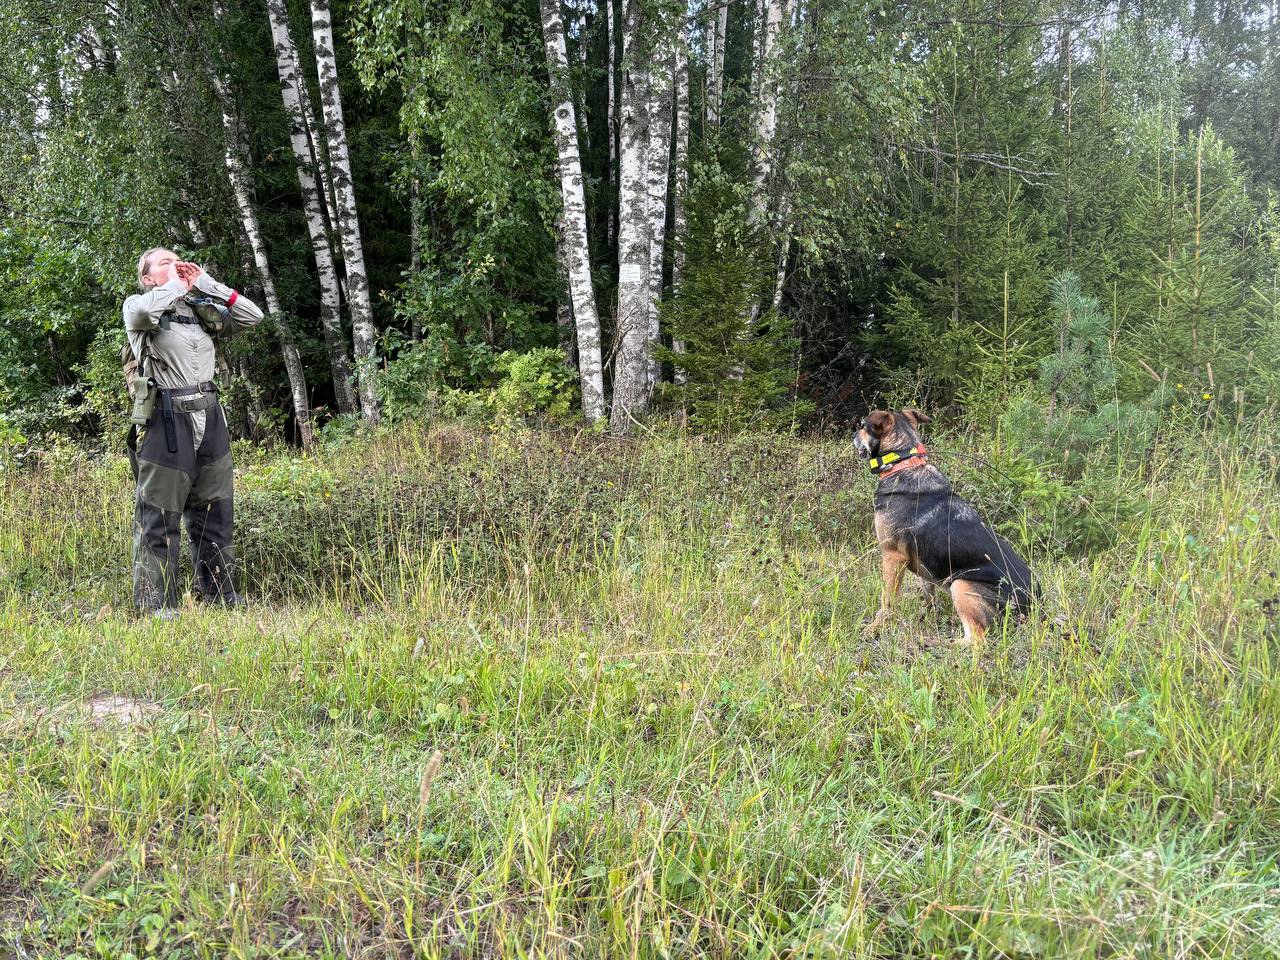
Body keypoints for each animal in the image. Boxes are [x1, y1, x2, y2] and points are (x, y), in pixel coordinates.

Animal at [849, 407, 1039, 647]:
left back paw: (937, 643)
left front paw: (875, 628)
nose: (853, 434)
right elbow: (929, 597)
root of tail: (1033, 606)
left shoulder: (893, 556)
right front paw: (926, 617)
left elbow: (887, 601)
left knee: (977, 639)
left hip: (962, 585)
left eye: (864, 427)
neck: (903, 462)